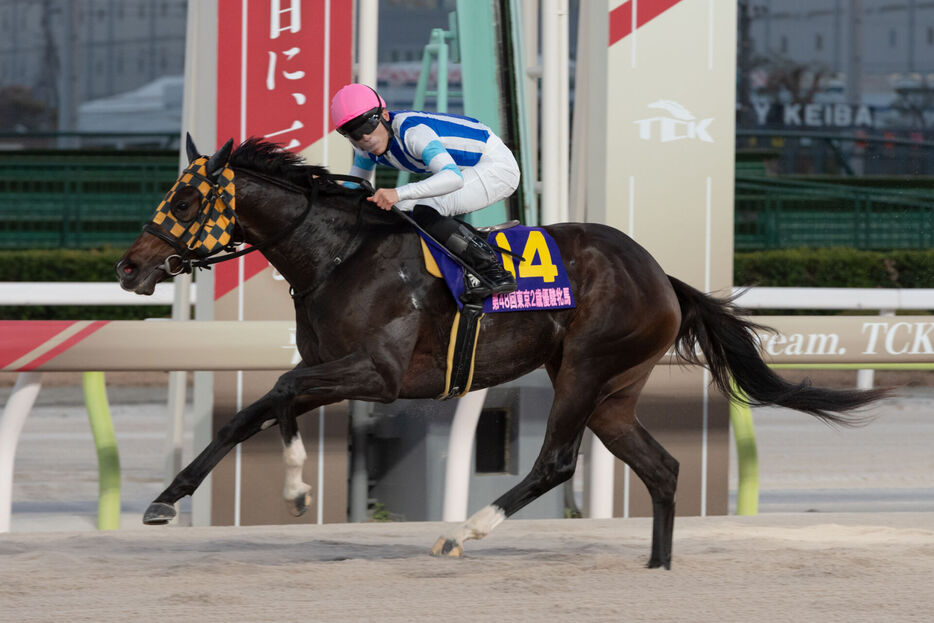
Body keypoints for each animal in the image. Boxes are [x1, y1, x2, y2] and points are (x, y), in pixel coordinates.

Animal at [115, 139, 884, 572]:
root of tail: (663, 277)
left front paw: (273, 490)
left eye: (183, 198)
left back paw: (465, 532)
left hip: (585, 370)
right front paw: (187, 498)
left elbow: (271, 396)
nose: (129, 267)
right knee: (662, 468)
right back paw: (658, 566)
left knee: (556, 462)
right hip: (611, 391)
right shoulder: (330, 367)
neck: (339, 255)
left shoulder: (379, 374)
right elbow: (257, 411)